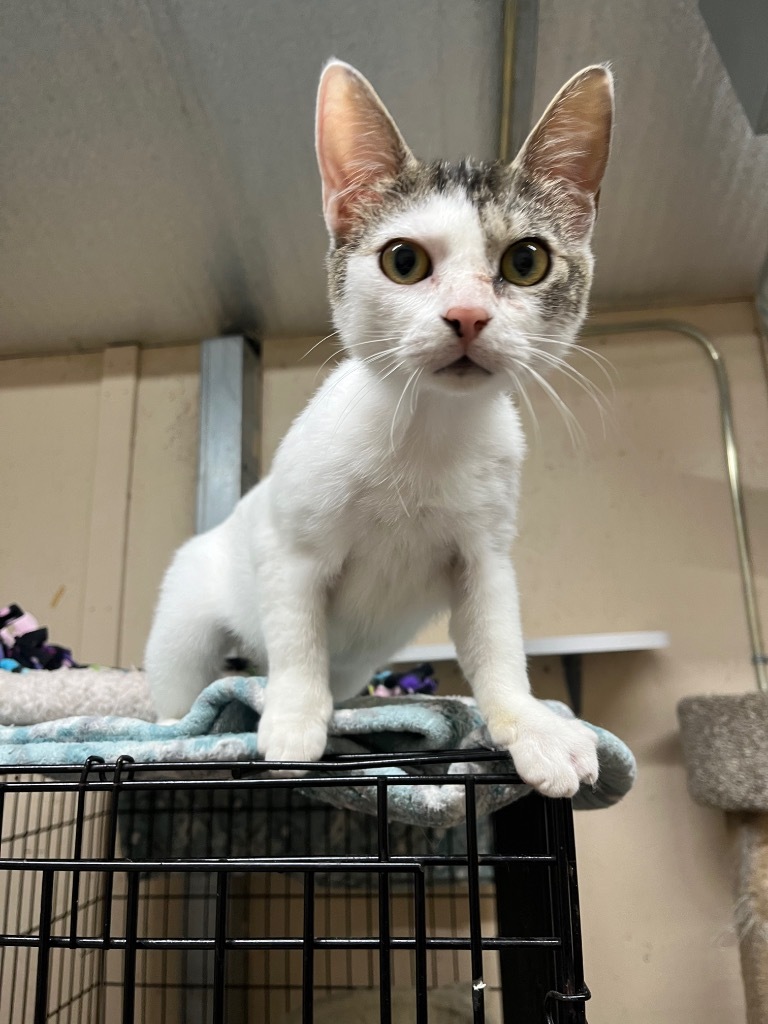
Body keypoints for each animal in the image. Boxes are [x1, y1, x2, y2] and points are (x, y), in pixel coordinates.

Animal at [144, 58, 614, 798]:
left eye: (526, 261)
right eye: (404, 261)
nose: (468, 316)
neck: (424, 434)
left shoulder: (485, 553)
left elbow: (497, 640)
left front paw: (531, 723)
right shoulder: (291, 550)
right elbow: (298, 636)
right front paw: (292, 719)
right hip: (186, 617)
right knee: (187, 683)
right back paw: (180, 728)